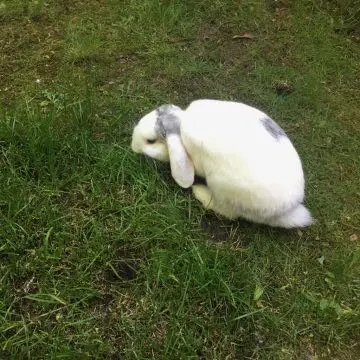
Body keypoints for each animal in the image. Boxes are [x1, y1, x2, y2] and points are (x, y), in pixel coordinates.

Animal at [131, 98, 314, 228]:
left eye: (150, 141)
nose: (134, 148)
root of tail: (287, 208)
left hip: (221, 186)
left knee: (228, 212)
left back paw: (199, 191)